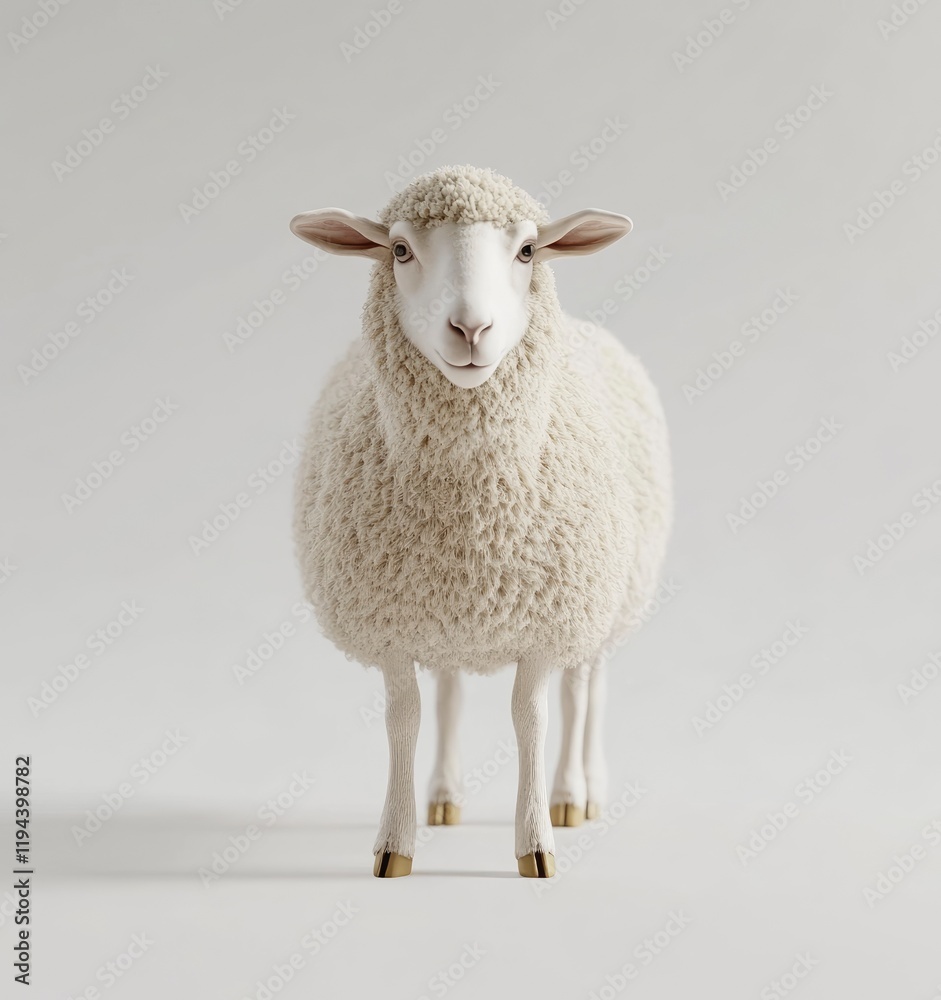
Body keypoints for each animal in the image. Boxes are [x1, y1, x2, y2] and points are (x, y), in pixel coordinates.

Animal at [289, 165, 672, 878]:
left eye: (527, 251)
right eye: (400, 250)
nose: (470, 328)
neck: (474, 514)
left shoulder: (548, 622)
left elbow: (534, 718)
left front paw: (536, 843)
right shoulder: (397, 622)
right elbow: (406, 719)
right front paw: (396, 842)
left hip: (606, 598)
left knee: (585, 692)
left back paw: (576, 793)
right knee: (450, 695)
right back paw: (444, 797)